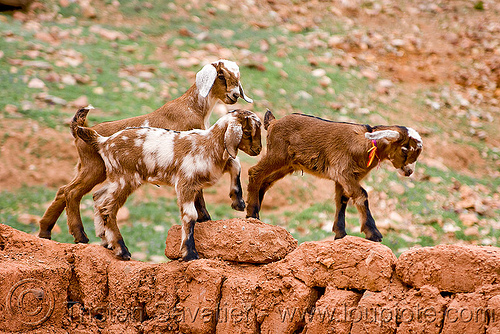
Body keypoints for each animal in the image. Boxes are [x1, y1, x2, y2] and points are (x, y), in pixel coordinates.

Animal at [77, 109, 262, 260]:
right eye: (247, 131)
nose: (258, 150)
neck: (207, 144)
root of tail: (104, 142)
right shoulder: (185, 183)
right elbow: (190, 215)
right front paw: (189, 253)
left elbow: (235, 163)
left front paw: (238, 202)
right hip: (125, 179)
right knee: (107, 208)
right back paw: (121, 249)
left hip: (117, 179)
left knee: (98, 197)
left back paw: (105, 240)